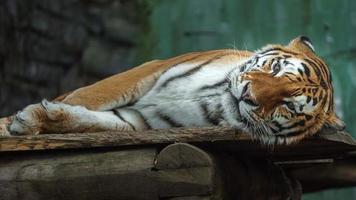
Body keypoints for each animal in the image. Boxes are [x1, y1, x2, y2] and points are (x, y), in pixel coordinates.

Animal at [0, 36, 344, 145]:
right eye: (274, 69)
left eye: (288, 104)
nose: (247, 95)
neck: (214, 99)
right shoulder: (147, 70)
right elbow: (87, 97)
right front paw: (17, 122)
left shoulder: (141, 121)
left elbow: (90, 121)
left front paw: (35, 120)